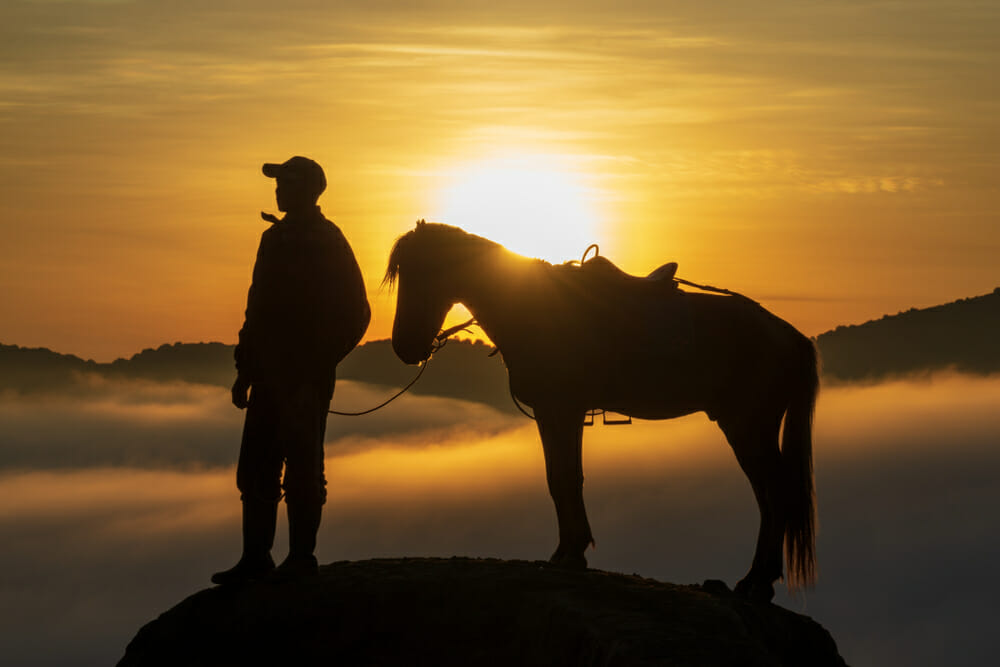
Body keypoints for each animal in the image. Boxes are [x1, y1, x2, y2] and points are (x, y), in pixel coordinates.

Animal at [384, 221, 819, 602]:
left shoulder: (562, 409)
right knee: (767, 495)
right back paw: (755, 580)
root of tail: (788, 334)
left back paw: (758, 582)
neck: (532, 307)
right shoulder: (553, 413)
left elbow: (565, 478)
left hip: (748, 427)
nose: (405, 347)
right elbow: (559, 479)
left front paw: (572, 554)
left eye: (422, 272)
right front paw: (566, 552)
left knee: (775, 491)